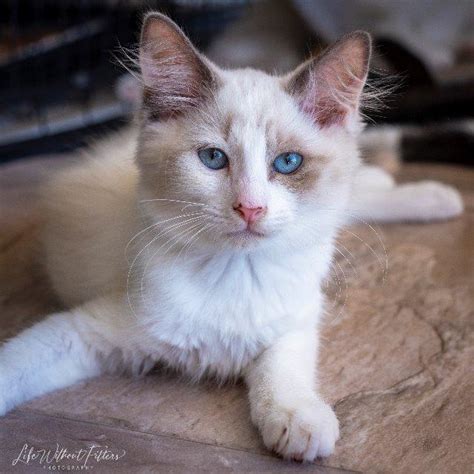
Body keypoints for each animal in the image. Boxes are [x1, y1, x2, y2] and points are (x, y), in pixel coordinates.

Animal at [0, 12, 462, 462]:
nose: (250, 208)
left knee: (355, 196)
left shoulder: (296, 320)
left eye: (288, 162)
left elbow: (283, 367)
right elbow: (16, 364)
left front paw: (299, 418)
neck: (237, 271)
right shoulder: (87, 330)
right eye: (212, 158)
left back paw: (432, 194)